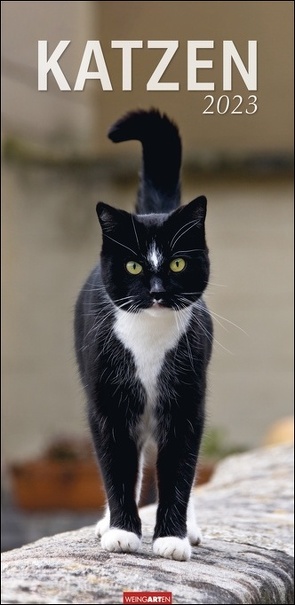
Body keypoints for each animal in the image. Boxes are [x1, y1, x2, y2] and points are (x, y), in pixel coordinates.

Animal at [74, 108, 213, 560]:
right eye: (134, 266)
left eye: (177, 264)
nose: (155, 291)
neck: (149, 340)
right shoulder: (107, 403)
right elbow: (116, 466)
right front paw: (123, 531)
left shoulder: (186, 403)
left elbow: (179, 469)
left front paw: (172, 537)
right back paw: (108, 523)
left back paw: (190, 527)